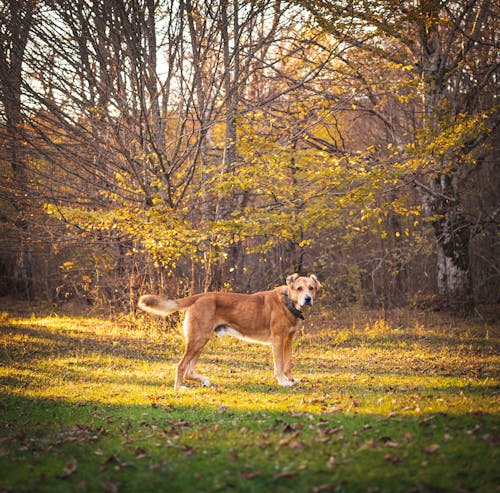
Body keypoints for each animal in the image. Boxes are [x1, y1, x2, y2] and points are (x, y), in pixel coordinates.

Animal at [139, 272, 322, 388]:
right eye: (299, 288)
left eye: (311, 288)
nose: (308, 299)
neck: (289, 302)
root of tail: (199, 296)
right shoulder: (278, 340)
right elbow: (279, 364)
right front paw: (283, 381)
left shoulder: (288, 340)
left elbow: (288, 363)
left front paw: (291, 379)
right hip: (198, 340)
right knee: (181, 366)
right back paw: (179, 388)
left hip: (200, 341)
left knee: (188, 370)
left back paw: (203, 381)